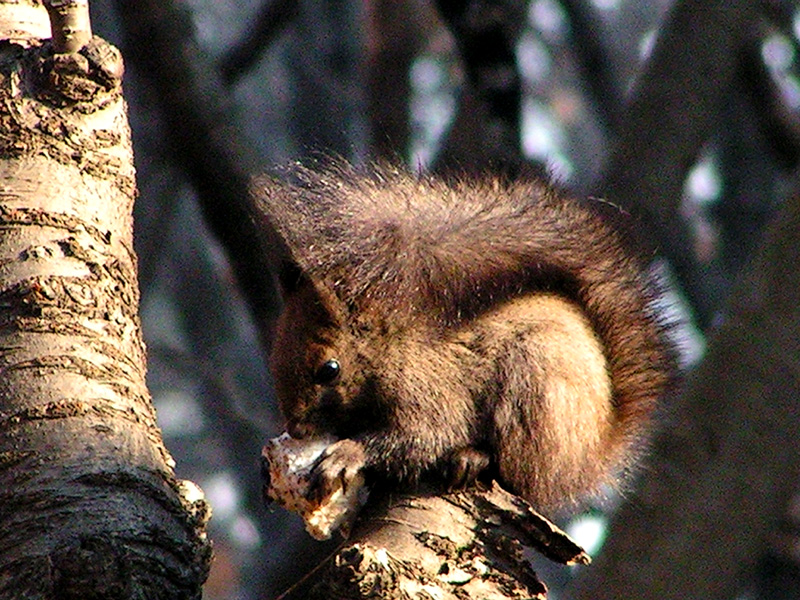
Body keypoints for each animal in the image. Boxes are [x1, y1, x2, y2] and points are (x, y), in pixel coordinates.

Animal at [252, 162, 676, 512]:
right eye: (274, 357)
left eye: (330, 369)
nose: (297, 430)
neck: (393, 353)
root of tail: (593, 452)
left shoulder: (431, 394)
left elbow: (422, 439)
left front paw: (347, 454)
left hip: (538, 390)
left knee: (520, 475)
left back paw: (475, 458)